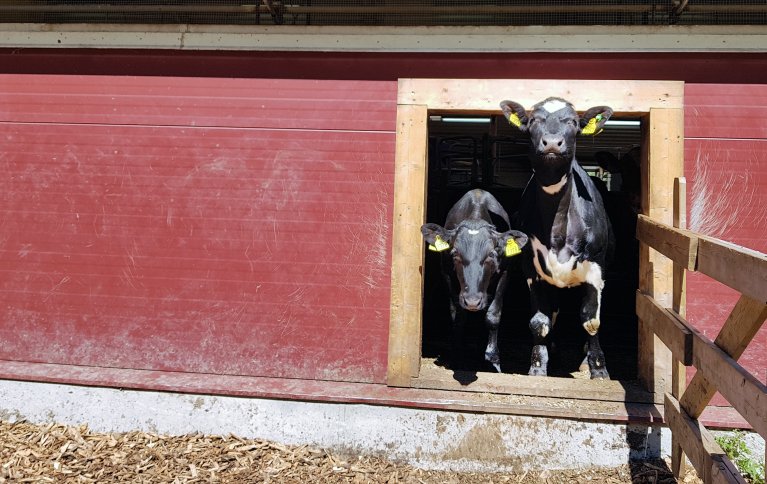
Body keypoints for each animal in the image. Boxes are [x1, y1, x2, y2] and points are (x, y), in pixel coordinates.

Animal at [424, 188, 532, 370]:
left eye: (491, 254)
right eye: (455, 254)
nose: (472, 302)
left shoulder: (505, 273)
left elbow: (493, 315)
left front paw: (492, 358)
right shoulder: (446, 274)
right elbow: (458, 316)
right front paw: (456, 357)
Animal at [498, 97, 616, 378]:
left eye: (572, 121)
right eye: (533, 120)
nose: (552, 142)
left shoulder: (596, 268)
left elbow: (591, 320)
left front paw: (598, 369)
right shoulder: (531, 269)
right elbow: (539, 321)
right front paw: (538, 366)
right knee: (552, 312)